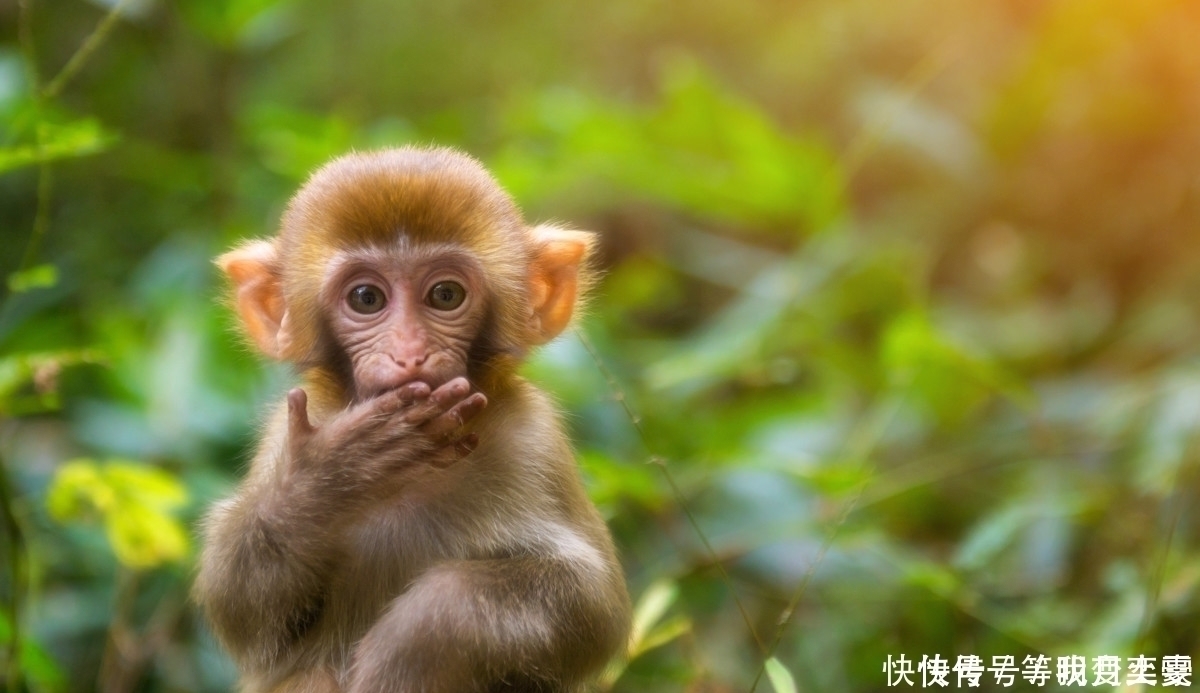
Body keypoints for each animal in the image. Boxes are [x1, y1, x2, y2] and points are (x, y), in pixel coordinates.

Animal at [194, 146, 628, 690]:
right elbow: (241, 608)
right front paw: (332, 475)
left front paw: (419, 636)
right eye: (366, 299)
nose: (409, 354)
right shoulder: (287, 431)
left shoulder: (534, 439)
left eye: (445, 295)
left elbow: (594, 604)